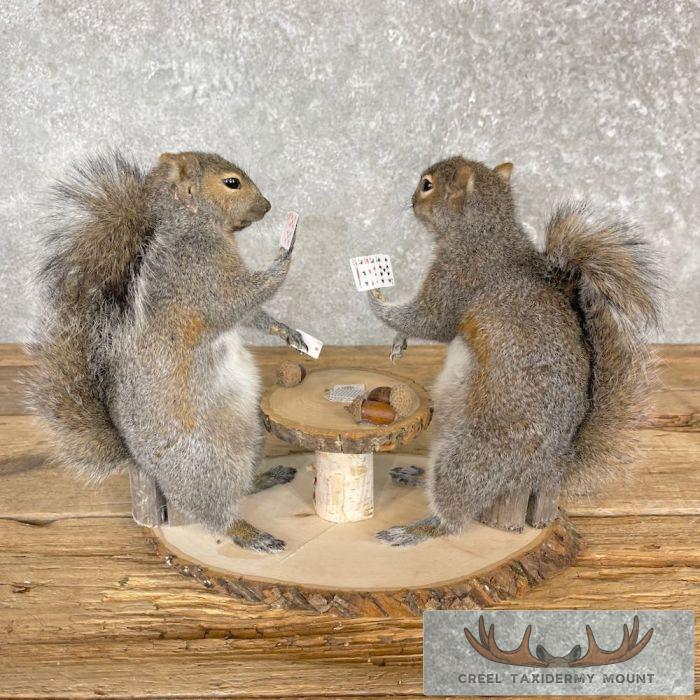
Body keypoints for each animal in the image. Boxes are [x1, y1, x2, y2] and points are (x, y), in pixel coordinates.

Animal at [28, 150, 307, 553]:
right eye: (231, 183)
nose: (268, 206)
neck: (194, 225)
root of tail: (142, 464)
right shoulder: (200, 277)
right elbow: (237, 302)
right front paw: (283, 257)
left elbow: (251, 314)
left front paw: (285, 330)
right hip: (212, 466)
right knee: (217, 514)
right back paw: (249, 534)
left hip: (254, 439)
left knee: (243, 488)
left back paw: (270, 477)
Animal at [369, 157, 661, 546]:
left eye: (427, 185)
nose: (412, 202)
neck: (485, 230)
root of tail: (553, 468)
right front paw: (397, 338)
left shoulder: (459, 277)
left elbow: (431, 321)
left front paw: (376, 301)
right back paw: (415, 475)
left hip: (478, 455)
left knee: (456, 510)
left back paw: (417, 529)